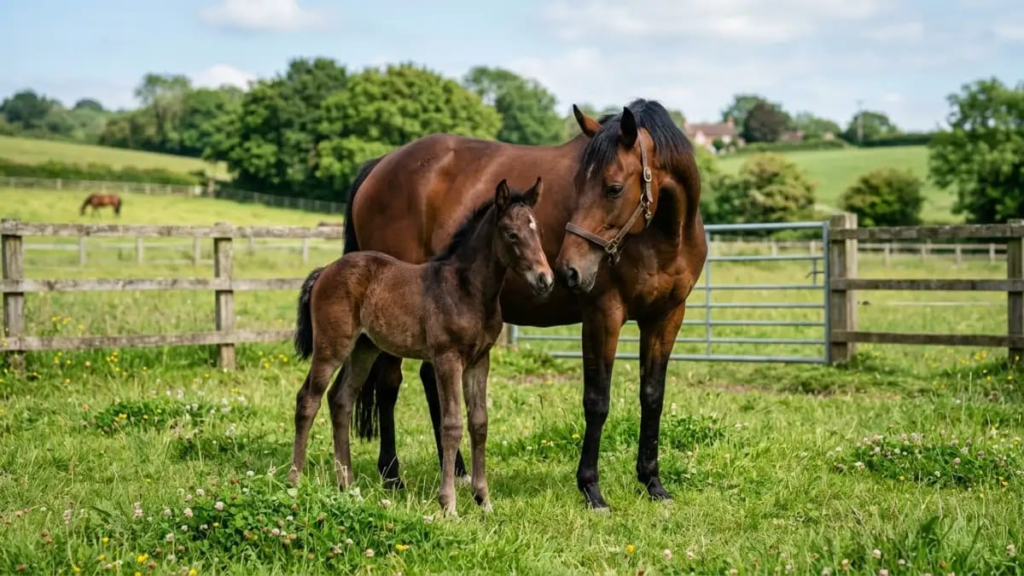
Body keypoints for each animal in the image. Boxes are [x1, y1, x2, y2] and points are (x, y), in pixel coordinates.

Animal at [291, 178, 552, 515]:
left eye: (538, 231)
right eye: (511, 233)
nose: (545, 280)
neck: (468, 290)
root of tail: (325, 270)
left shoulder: (480, 360)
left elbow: (479, 423)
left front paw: (484, 501)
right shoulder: (447, 358)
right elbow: (451, 424)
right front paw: (449, 504)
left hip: (364, 348)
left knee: (340, 399)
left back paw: (347, 486)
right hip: (331, 345)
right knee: (308, 399)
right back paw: (294, 481)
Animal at [345, 98, 706, 510]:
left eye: (613, 188)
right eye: (577, 185)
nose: (568, 270)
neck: (663, 237)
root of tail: (381, 165)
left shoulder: (666, 317)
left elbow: (653, 397)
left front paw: (652, 482)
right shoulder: (603, 315)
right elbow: (597, 400)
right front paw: (591, 489)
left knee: (426, 380)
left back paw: (456, 469)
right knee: (389, 384)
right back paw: (392, 474)